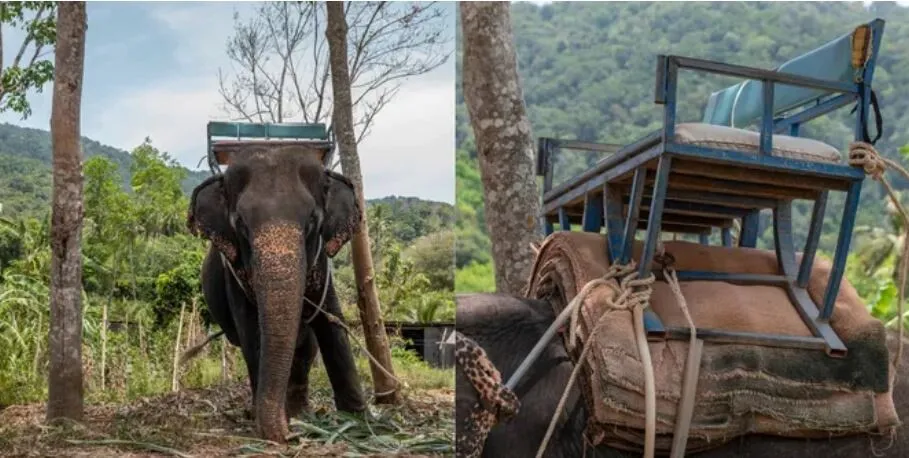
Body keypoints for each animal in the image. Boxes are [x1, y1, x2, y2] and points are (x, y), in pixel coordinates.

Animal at [187, 146, 366, 440]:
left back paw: (301, 413)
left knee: (305, 349)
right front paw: (266, 424)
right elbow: (251, 331)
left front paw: (361, 422)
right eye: (240, 223)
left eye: (312, 221)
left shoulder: (322, 267)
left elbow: (331, 323)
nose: (290, 435)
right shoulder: (232, 275)